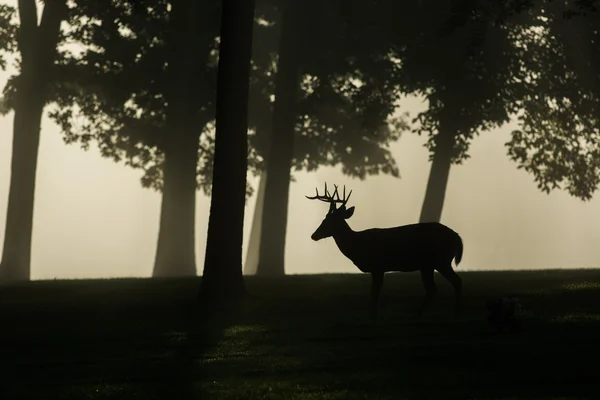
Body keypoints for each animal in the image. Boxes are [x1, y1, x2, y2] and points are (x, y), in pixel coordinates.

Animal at [308, 184, 462, 318]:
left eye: (330, 221)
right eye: (324, 219)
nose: (313, 235)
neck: (358, 245)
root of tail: (457, 237)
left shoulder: (378, 266)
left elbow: (375, 294)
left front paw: (373, 317)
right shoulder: (378, 269)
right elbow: (374, 293)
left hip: (441, 260)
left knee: (455, 282)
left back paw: (454, 314)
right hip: (428, 265)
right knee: (433, 289)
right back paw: (419, 315)